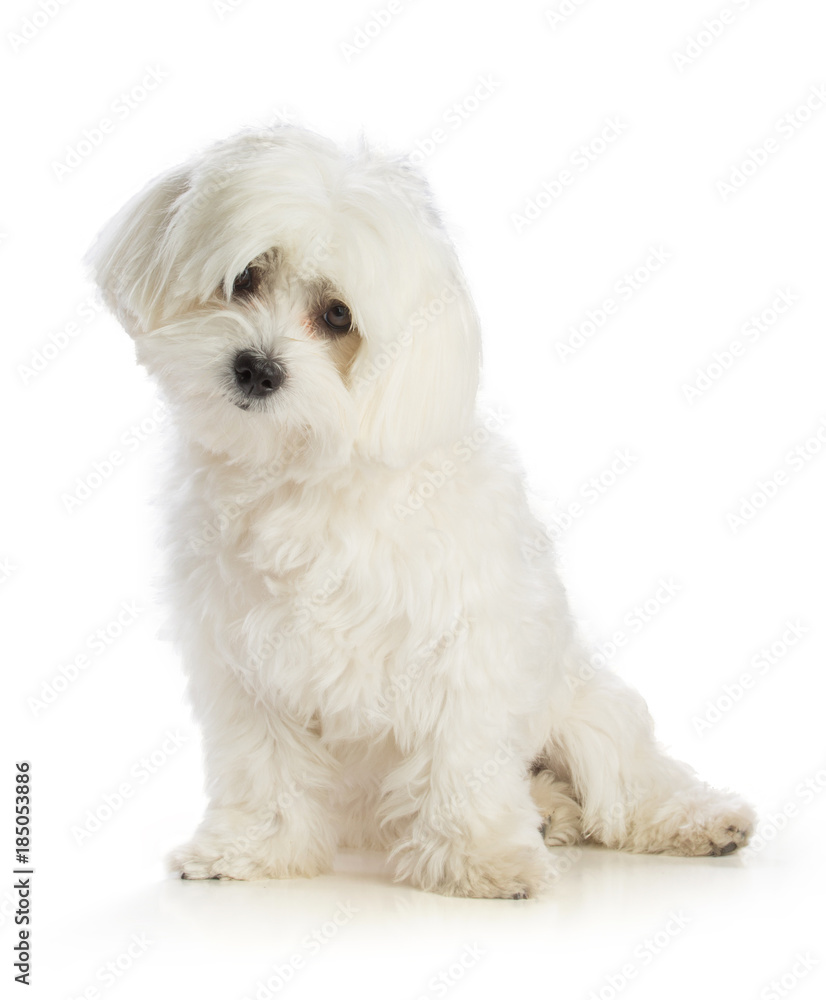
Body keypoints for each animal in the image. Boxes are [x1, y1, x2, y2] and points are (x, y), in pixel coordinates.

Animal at [88, 125, 752, 900]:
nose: (256, 368)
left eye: (337, 315)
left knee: (628, 781)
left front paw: (483, 859)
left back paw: (692, 820)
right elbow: (266, 764)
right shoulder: (246, 667)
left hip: (586, 712)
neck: (308, 476)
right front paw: (253, 849)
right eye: (246, 277)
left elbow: (460, 757)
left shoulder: (459, 650)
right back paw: (550, 813)